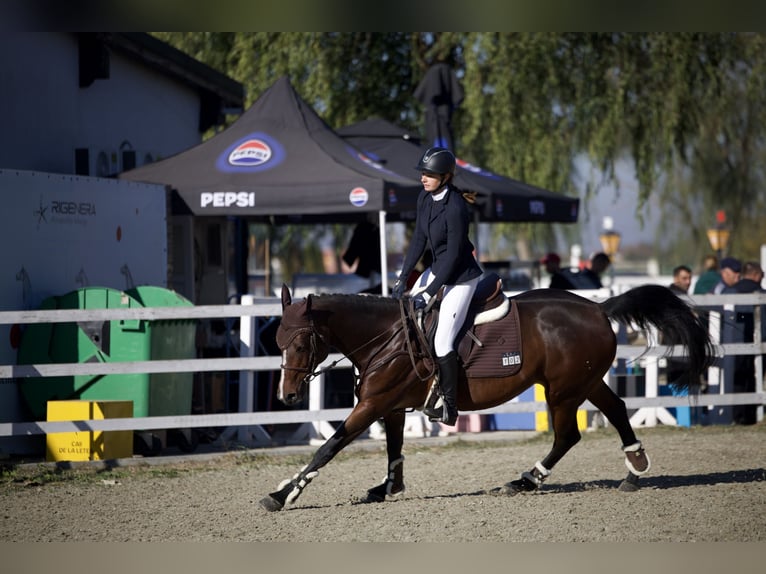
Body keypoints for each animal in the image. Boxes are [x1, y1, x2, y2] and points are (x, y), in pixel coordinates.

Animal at [260, 284, 716, 512]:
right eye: (277, 340)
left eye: (299, 343)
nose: (287, 395)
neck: (387, 336)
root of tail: (598, 308)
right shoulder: (390, 407)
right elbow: (394, 449)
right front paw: (388, 487)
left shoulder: (372, 405)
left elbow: (328, 448)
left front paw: (283, 495)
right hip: (584, 383)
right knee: (617, 410)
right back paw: (634, 471)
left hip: (563, 391)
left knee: (567, 436)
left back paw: (526, 480)